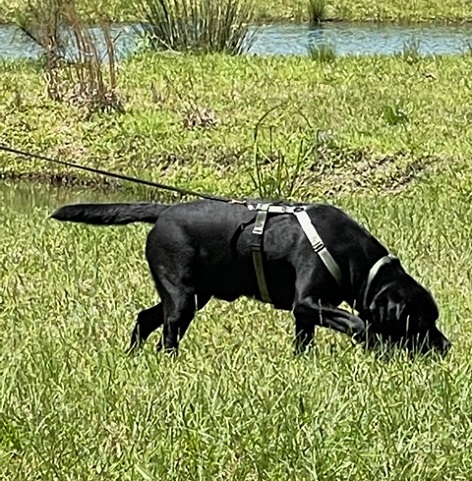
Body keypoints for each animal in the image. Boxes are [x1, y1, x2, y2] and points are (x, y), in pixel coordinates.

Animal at [51, 200, 450, 356]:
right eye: (421, 322)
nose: (446, 347)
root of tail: (163, 211)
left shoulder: (304, 312)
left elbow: (304, 340)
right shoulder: (308, 301)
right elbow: (357, 322)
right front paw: (375, 346)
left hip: (193, 295)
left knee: (146, 318)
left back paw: (133, 355)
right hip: (182, 297)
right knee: (166, 333)